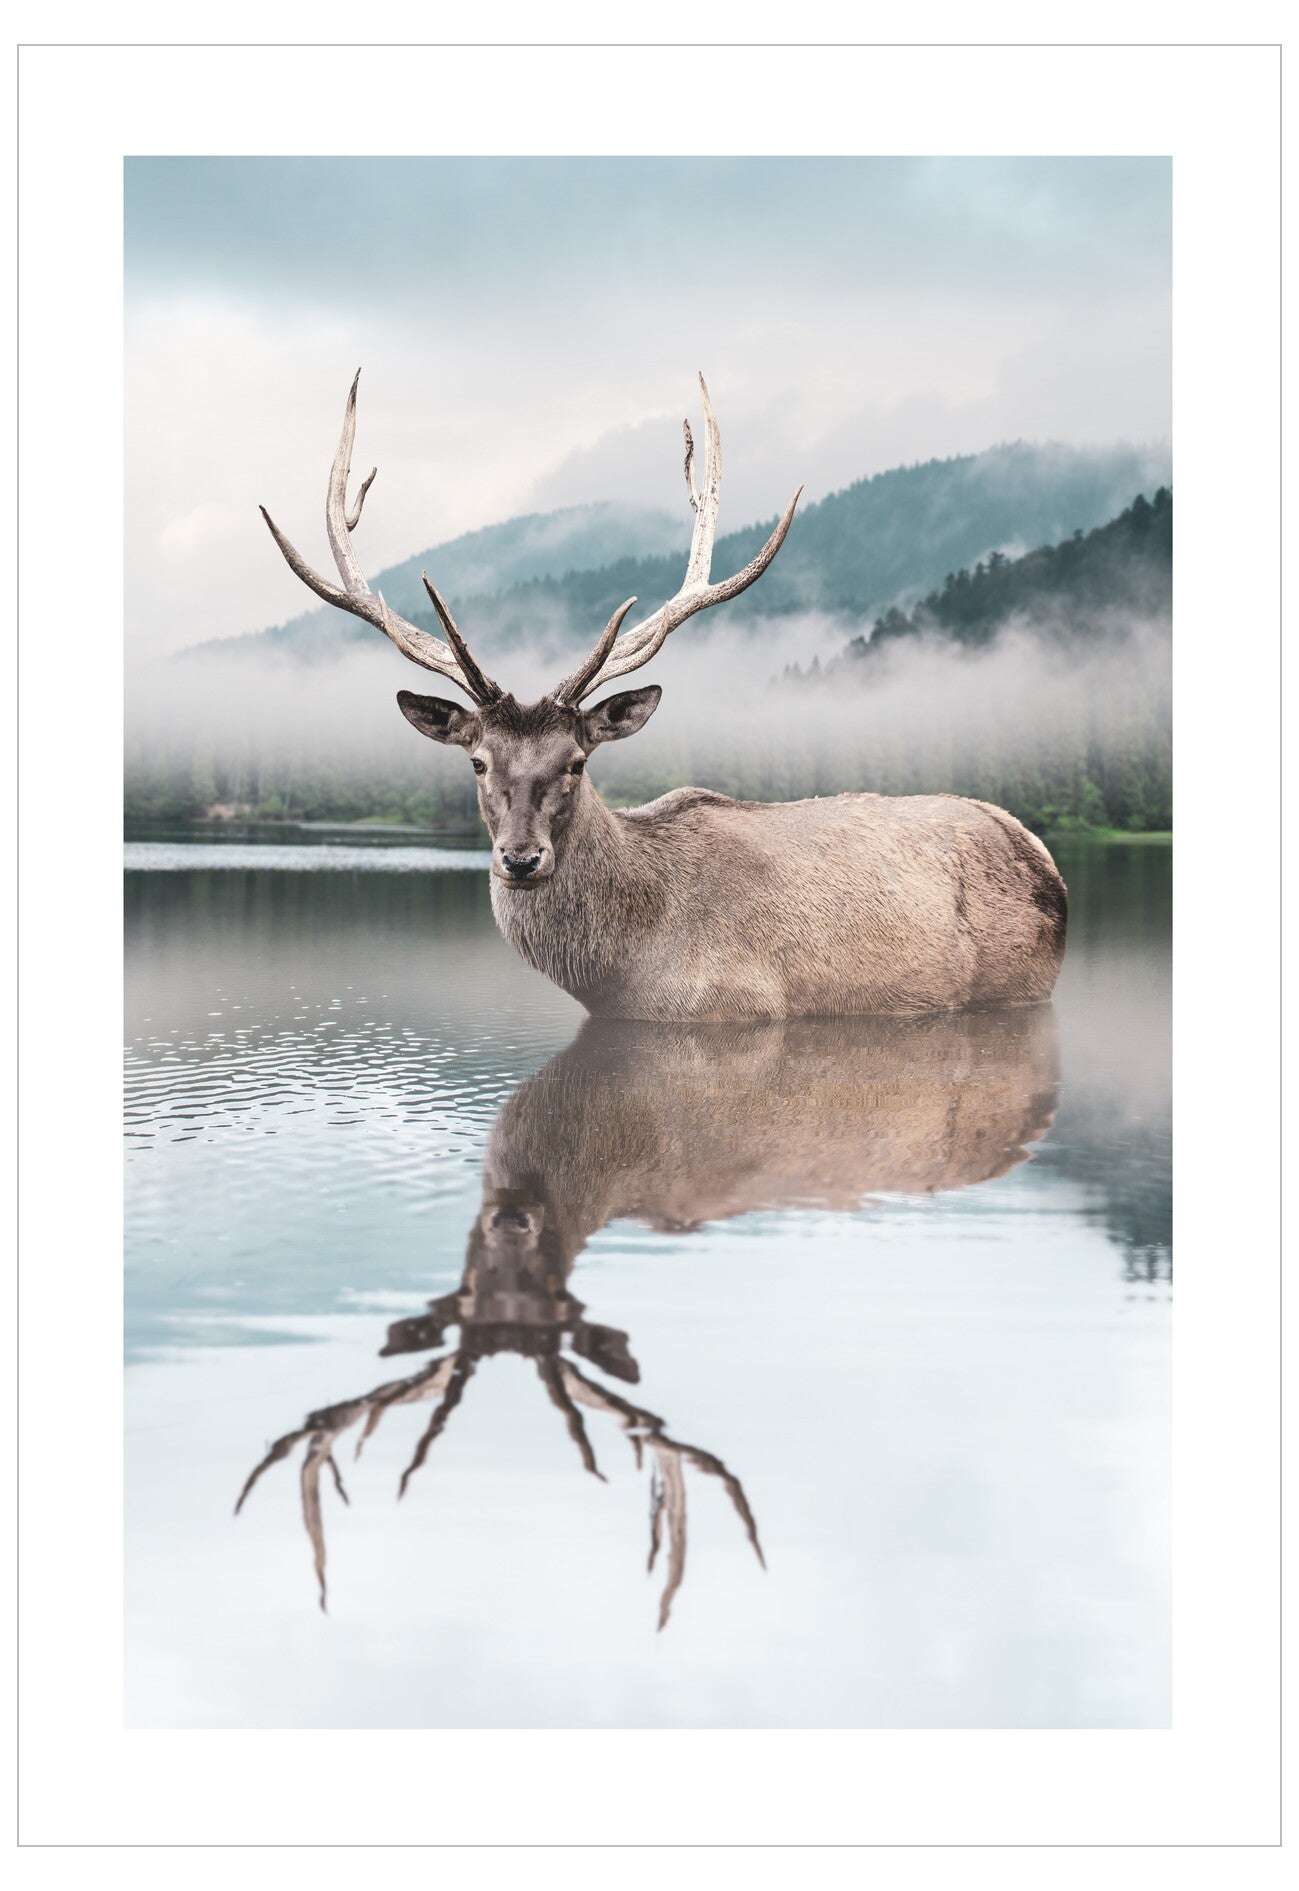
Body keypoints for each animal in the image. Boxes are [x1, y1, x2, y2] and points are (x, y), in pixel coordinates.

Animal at [261, 373, 1067, 1021]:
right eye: (478, 761)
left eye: (577, 761)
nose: (520, 858)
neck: (622, 974)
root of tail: (1039, 854)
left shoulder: (734, 1010)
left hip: (1023, 982)